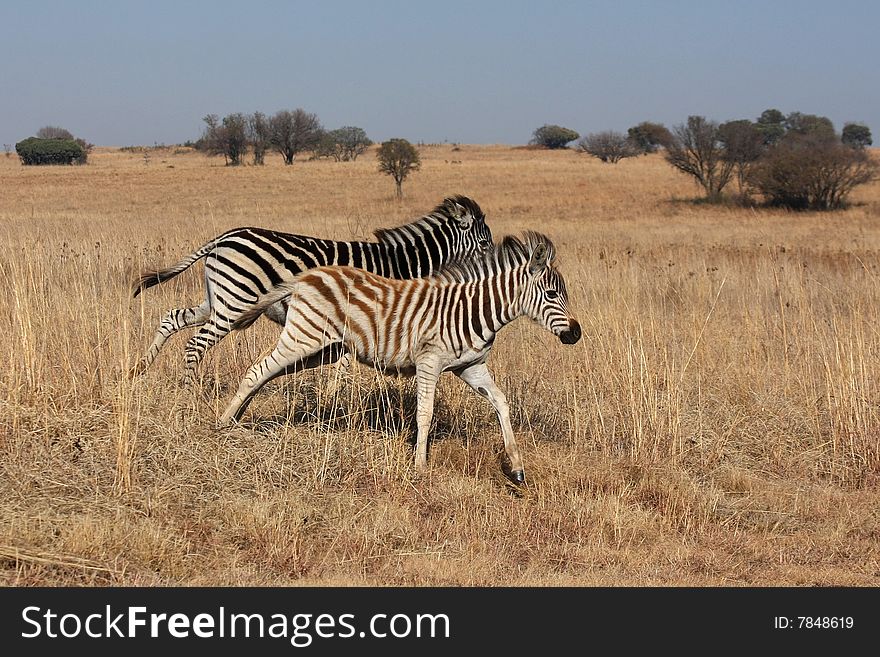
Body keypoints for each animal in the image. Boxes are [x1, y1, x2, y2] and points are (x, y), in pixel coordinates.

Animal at [130, 193, 492, 384]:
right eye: (486, 243)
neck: (399, 266)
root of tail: (222, 238)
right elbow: (345, 372)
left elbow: (341, 367)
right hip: (234, 302)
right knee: (195, 343)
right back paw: (190, 391)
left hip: (220, 300)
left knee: (172, 318)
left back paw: (140, 368)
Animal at [217, 231, 580, 482]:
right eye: (551, 294)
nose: (575, 334)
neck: (473, 311)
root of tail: (304, 277)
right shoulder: (429, 362)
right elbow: (425, 414)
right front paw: (420, 466)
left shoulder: (471, 367)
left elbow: (502, 404)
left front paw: (516, 468)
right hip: (304, 337)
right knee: (256, 371)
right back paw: (222, 424)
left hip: (321, 349)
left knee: (265, 375)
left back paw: (238, 418)